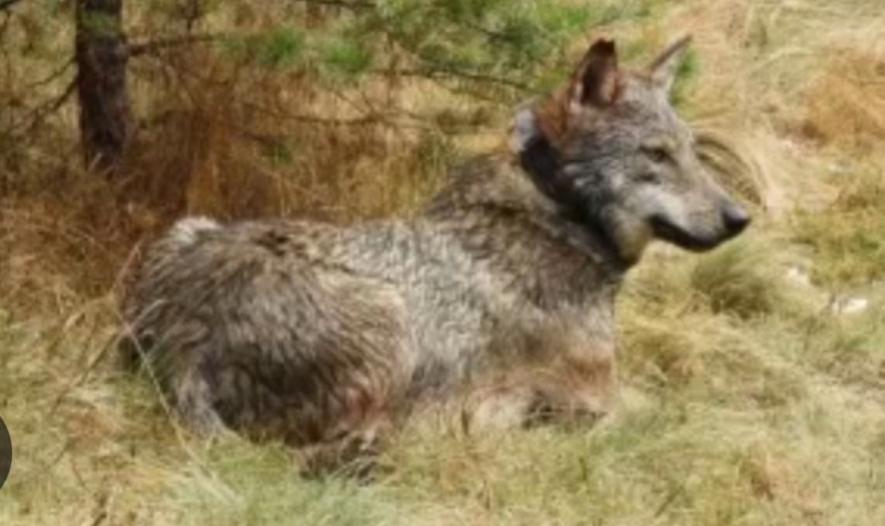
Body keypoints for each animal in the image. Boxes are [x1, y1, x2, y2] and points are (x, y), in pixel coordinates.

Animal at [121, 36, 750, 473]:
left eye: (691, 151)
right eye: (655, 154)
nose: (740, 217)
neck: (558, 213)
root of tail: (181, 337)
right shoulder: (600, 394)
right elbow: (670, 408)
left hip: (191, 226)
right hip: (390, 316)